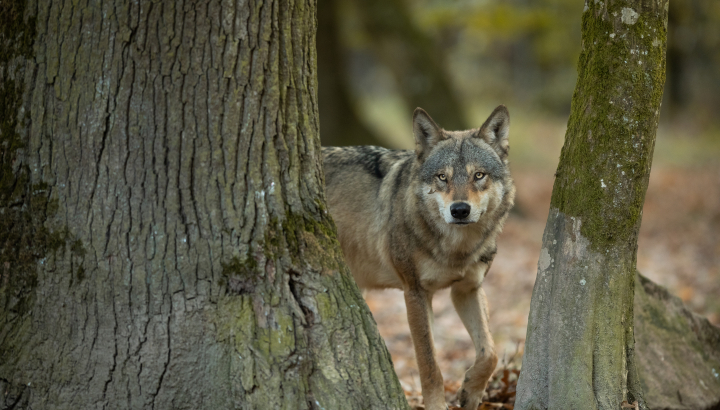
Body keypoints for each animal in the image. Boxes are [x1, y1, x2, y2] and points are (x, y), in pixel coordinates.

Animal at [322, 106, 515, 410]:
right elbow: (430, 365)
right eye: (442, 177)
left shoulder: (467, 289)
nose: (460, 210)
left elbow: (490, 353)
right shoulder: (415, 292)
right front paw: (438, 405)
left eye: (478, 175)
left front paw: (470, 392)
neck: (456, 250)